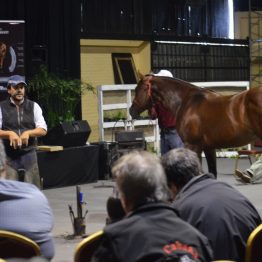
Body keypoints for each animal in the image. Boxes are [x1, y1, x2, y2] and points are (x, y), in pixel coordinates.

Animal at [129, 74, 262, 177]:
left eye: (138, 89)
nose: (131, 111)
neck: (186, 101)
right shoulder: (209, 148)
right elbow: (212, 173)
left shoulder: (193, 146)